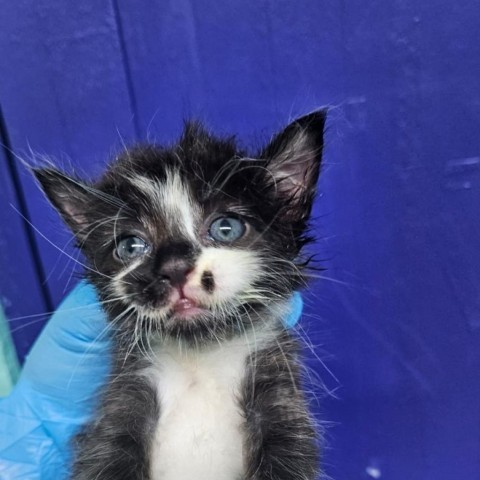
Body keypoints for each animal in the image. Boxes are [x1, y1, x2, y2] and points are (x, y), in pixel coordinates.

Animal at [33, 109, 326, 480]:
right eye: (130, 246)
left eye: (226, 228)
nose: (174, 267)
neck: (200, 362)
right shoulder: (120, 405)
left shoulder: (281, 402)